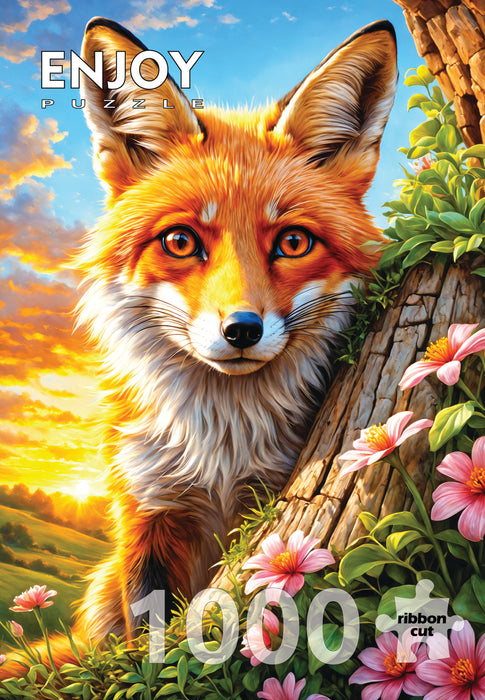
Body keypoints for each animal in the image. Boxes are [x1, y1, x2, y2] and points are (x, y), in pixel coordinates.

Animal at [0, 16, 397, 678]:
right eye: (181, 241)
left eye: (293, 242)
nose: (241, 330)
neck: (223, 450)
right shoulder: (150, 513)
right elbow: (150, 643)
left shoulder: (263, 501)